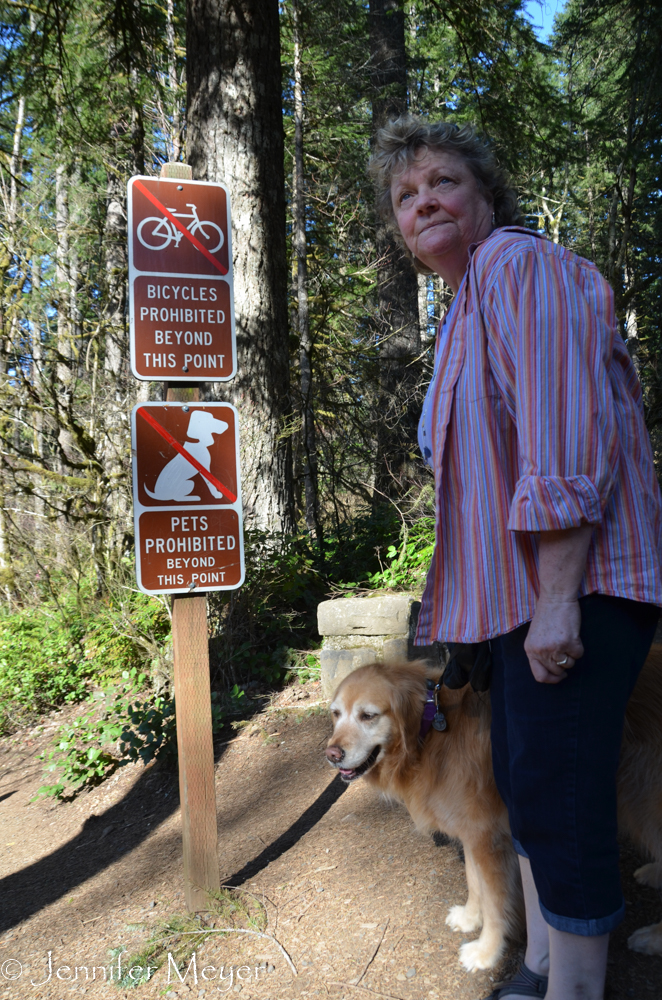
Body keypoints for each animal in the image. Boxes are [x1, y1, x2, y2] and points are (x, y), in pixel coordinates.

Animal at [328, 652, 662, 972]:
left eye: (368, 716)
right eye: (335, 714)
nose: (331, 754)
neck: (431, 732)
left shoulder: (488, 839)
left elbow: (495, 903)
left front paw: (486, 952)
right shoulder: (472, 832)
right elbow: (474, 882)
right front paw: (469, 918)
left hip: (642, 801)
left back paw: (653, 937)